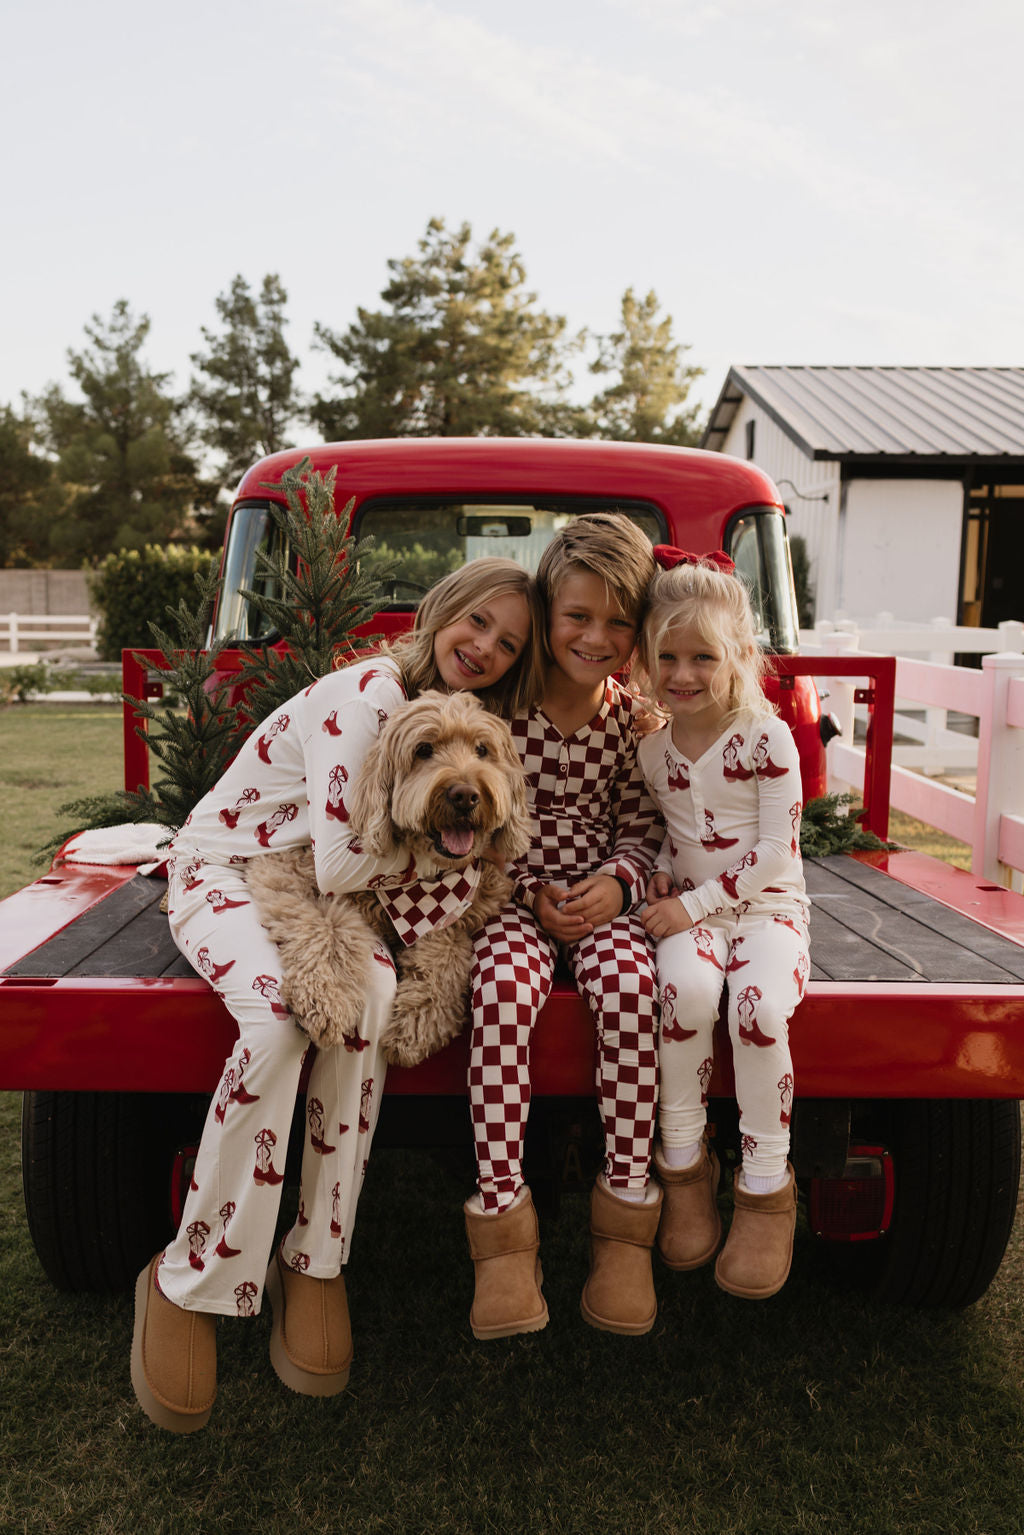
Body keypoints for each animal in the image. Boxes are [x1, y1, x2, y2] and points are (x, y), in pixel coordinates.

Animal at [247, 696, 534, 1068]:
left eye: (482, 749)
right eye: (424, 749)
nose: (465, 795)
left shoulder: (454, 911)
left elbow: (447, 951)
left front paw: (418, 1025)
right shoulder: (283, 867)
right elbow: (325, 923)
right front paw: (328, 998)